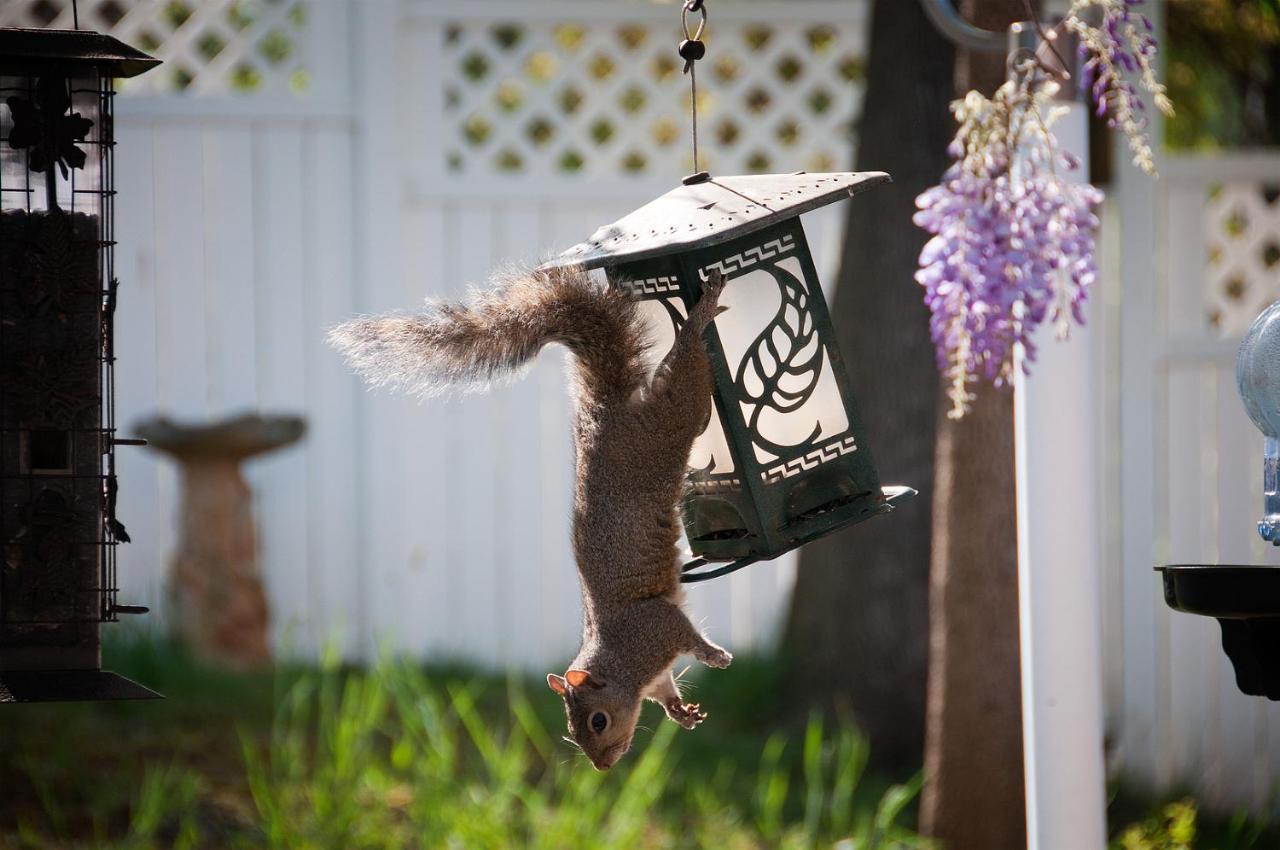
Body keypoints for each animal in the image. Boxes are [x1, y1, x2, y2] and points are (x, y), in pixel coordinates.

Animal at [330, 263, 732, 768]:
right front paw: (680, 711)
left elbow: (689, 638)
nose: (602, 767)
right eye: (572, 733)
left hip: (667, 427)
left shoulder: (656, 626)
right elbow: (665, 690)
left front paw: (713, 656)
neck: (620, 664)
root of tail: (604, 413)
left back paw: (700, 314)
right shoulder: (654, 670)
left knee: (685, 385)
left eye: (597, 721)